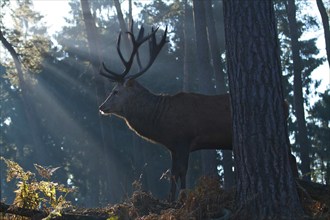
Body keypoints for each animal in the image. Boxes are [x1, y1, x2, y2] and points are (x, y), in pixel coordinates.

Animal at [98, 22, 294, 201]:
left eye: (116, 91)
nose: (101, 107)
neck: (161, 120)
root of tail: (285, 104)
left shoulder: (184, 138)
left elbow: (181, 171)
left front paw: (182, 198)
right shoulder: (173, 146)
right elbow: (172, 172)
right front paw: (170, 199)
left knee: (291, 157)